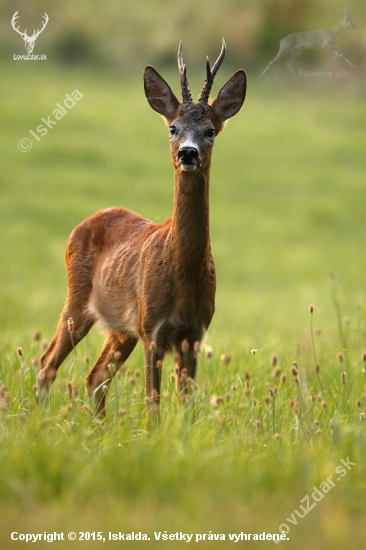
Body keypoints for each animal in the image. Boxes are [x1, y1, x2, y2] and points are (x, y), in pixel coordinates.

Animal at [38, 38, 246, 416]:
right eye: (173, 128)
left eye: (210, 131)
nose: (188, 153)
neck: (184, 274)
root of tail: (85, 222)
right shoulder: (152, 328)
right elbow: (153, 403)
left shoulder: (195, 332)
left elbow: (186, 403)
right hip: (78, 299)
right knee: (47, 363)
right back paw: (40, 420)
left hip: (121, 329)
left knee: (94, 376)